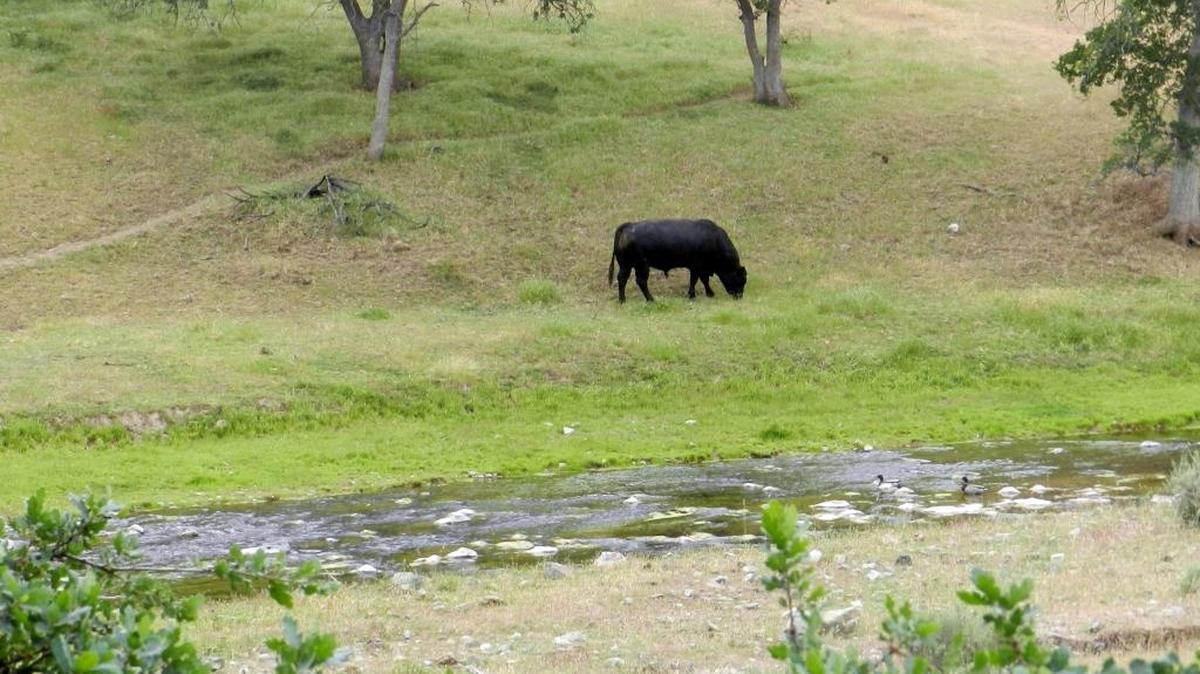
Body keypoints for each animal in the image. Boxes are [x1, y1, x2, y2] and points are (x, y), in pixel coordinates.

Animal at [607, 219, 747, 303]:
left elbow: (703, 280)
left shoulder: (700, 268)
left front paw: (709, 293)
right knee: (640, 281)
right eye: (741, 279)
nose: (739, 296)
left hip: (627, 265)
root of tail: (629, 225)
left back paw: (622, 300)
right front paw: (693, 295)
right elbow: (696, 280)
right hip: (641, 265)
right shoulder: (697, 266)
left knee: (622, 279)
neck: (713, 239)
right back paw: (650, 299)